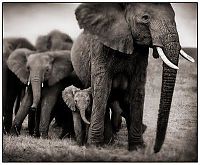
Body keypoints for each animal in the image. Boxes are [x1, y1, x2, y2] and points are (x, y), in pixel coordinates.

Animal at [71, 2, 195, 153]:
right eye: (145, 18)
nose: (155, 150)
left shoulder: (141, 54)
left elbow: (137, 90)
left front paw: (137, 148)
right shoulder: (99, 48)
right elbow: (101, 89)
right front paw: (94, 146)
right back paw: (108, 141)